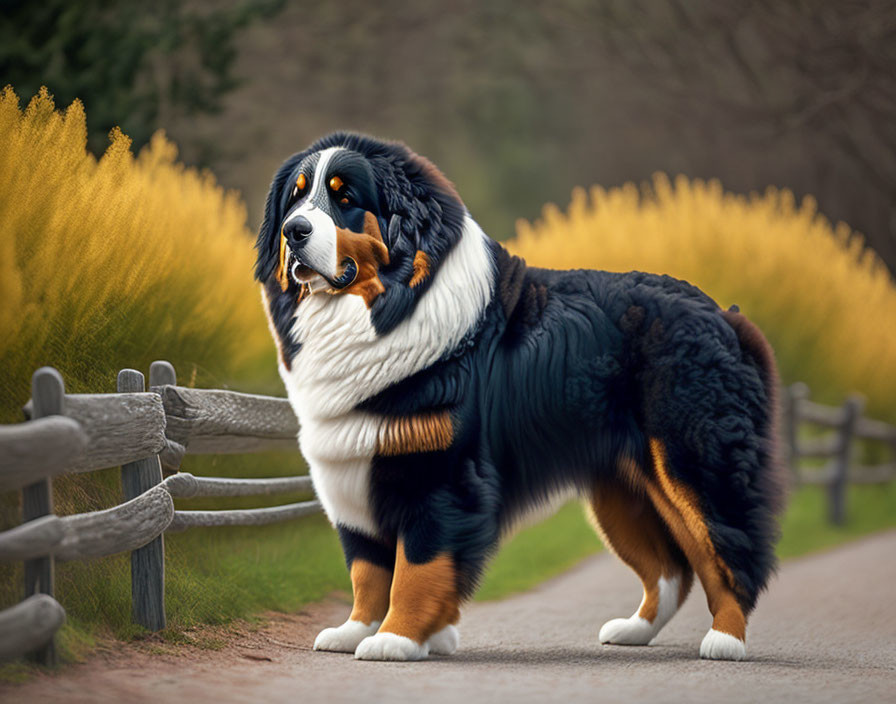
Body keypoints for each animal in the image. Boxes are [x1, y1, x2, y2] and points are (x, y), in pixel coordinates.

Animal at [254, 131, 784, 660]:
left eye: (346, 199)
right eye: (295, 198)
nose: (293, 232)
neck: (389, 306)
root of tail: (726, 315)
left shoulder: (443, 476)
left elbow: (415, 568)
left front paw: (395, 639)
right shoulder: (352, 469)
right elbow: (367, 568)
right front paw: (359, 630)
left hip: (693, 463)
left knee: (727, 549)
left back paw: (725, 640)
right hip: (623, 489)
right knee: (670, 567)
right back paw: (634, 629)